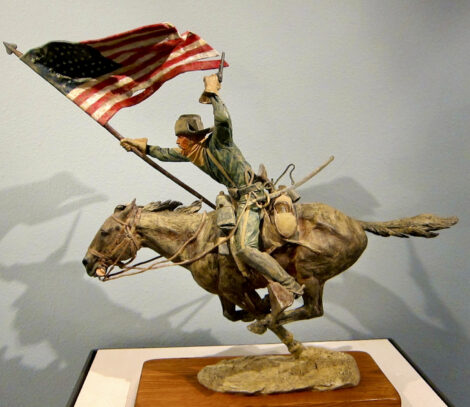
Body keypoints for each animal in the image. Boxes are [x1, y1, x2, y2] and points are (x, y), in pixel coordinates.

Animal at [82, 200, 458, 354]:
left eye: (106, 231)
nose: (87, 263)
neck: (199, 239)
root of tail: (357, 224)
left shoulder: (236, 289)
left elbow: (257, 313)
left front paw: (280, 332)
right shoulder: (227, 293)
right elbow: (231, 315)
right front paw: (267, 311)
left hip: (311, 275)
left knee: (312, 308)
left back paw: (270, 320)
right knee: (308, 309)